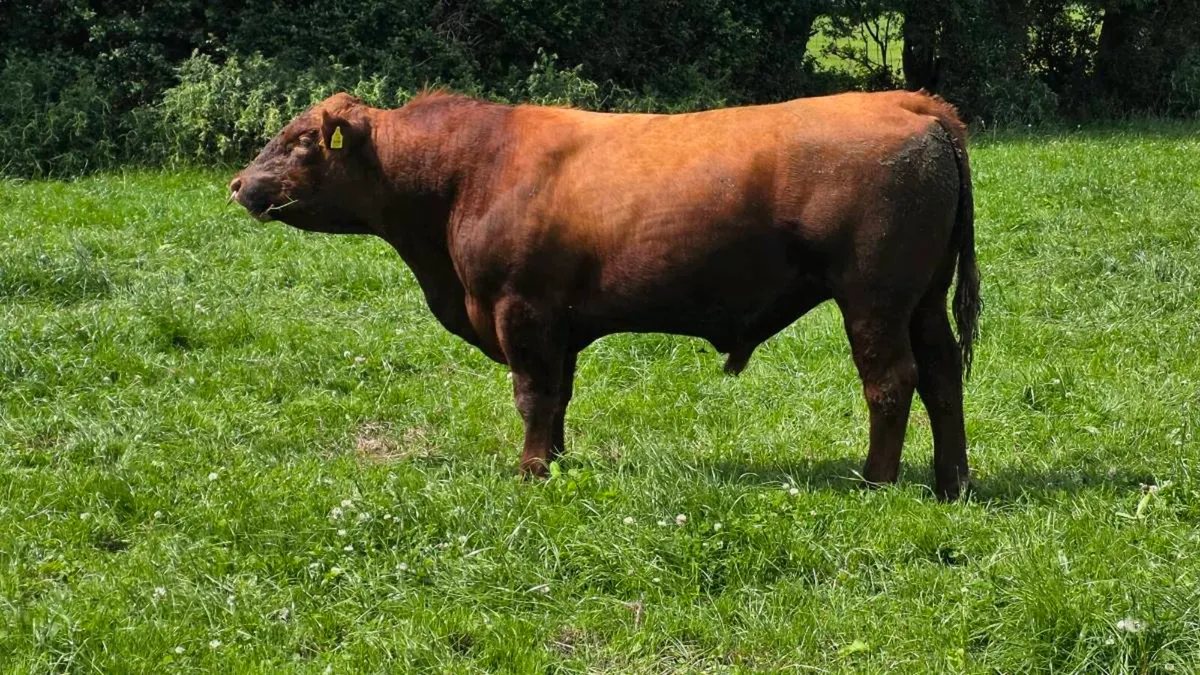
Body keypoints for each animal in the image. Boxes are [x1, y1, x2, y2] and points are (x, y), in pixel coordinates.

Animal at [229, 89, 981, 500]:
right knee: (943, 377)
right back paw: (951, 482)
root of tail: (909, 102)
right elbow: (558, 395)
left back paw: (876, 480)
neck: (465, 172)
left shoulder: (521, 309)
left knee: (892, 382)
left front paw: (530, 470)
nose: (238, 184)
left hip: (874, 297)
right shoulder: (556, 324)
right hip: (923, 300)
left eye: (299, 142)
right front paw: (556, 461)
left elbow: (533, 394)